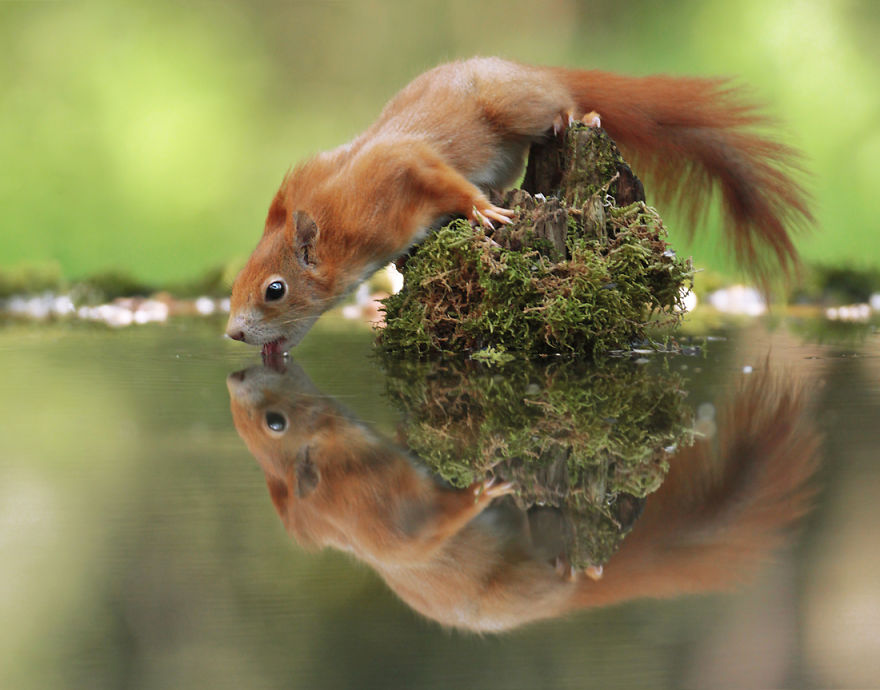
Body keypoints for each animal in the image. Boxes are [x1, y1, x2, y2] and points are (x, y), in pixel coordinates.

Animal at [226, 57, 811, 355]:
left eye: (274, 290)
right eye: (236, 284)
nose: (233, 333)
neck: (341, 223)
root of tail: (529, 69)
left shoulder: (402, 165)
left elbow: (444, 178)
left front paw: (483, 212)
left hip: (514, 105)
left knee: (563, 104)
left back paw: (581, 115)